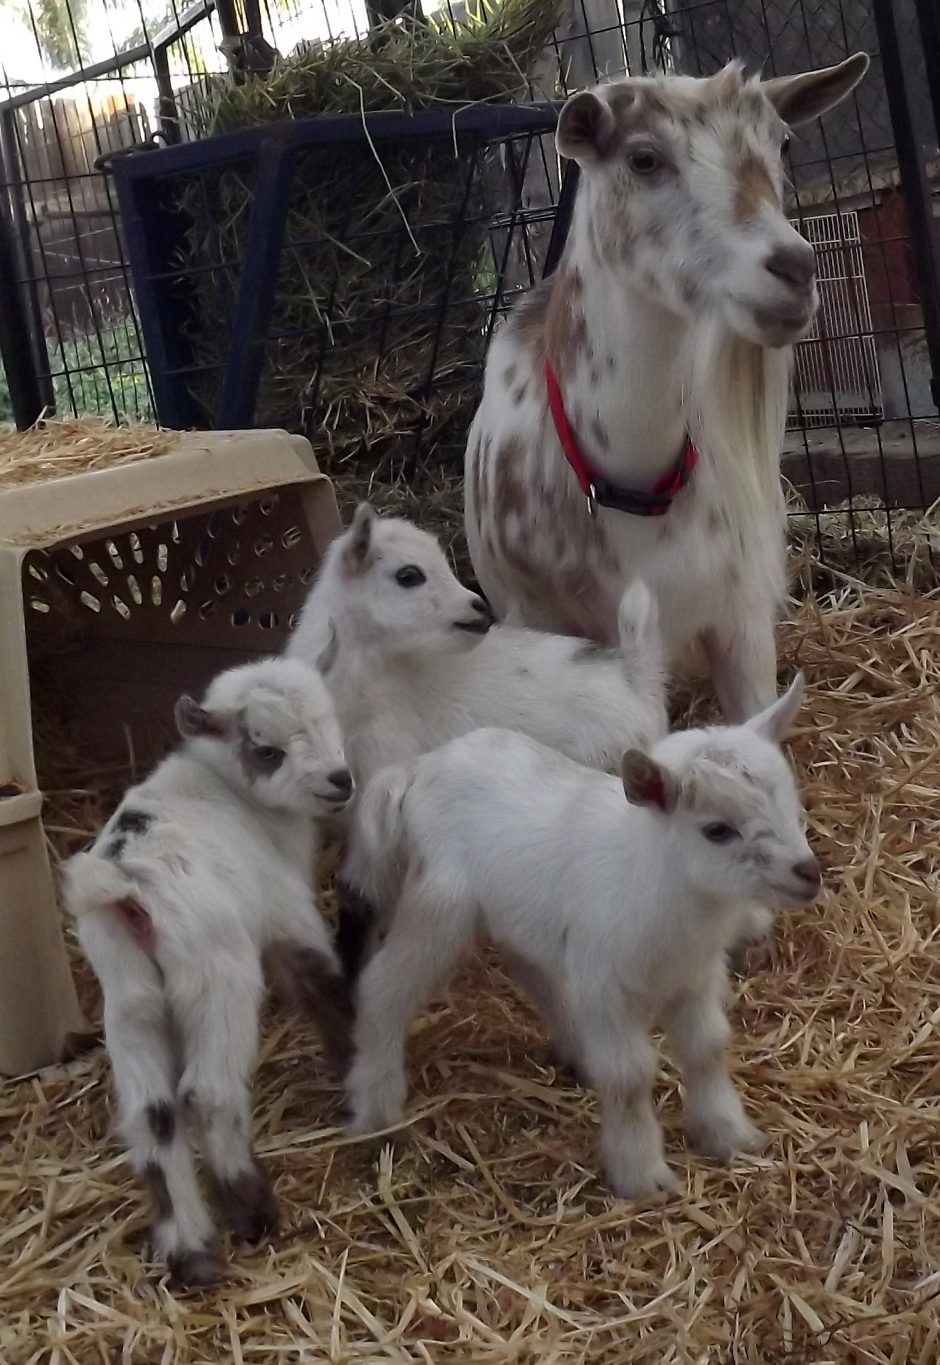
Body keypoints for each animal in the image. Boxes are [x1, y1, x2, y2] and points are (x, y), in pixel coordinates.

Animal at [62, 657, 354, 1286]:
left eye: (329, 719)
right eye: (266, 749)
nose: (340, 781)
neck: (231, 792)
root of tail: (128, 884)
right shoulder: (287, 914)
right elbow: (321, 983)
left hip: (130, 1000)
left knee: (154, 1113)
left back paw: (190, 1252)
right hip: (217, 977)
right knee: (207, 1095)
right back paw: (253, 1213)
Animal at [342, 675, 820, 1200]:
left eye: (789, 803)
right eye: (717, 830)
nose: (808, 873)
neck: (656, 883)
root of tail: (421, 767)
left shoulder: (694, 978)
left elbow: (707, 1048)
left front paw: (730, 1134)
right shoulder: (605, 987)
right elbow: (629, 1075)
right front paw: (642, 1176)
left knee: (529, 966)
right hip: (439, 903)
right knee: (384, 986)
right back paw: (376, 1107)